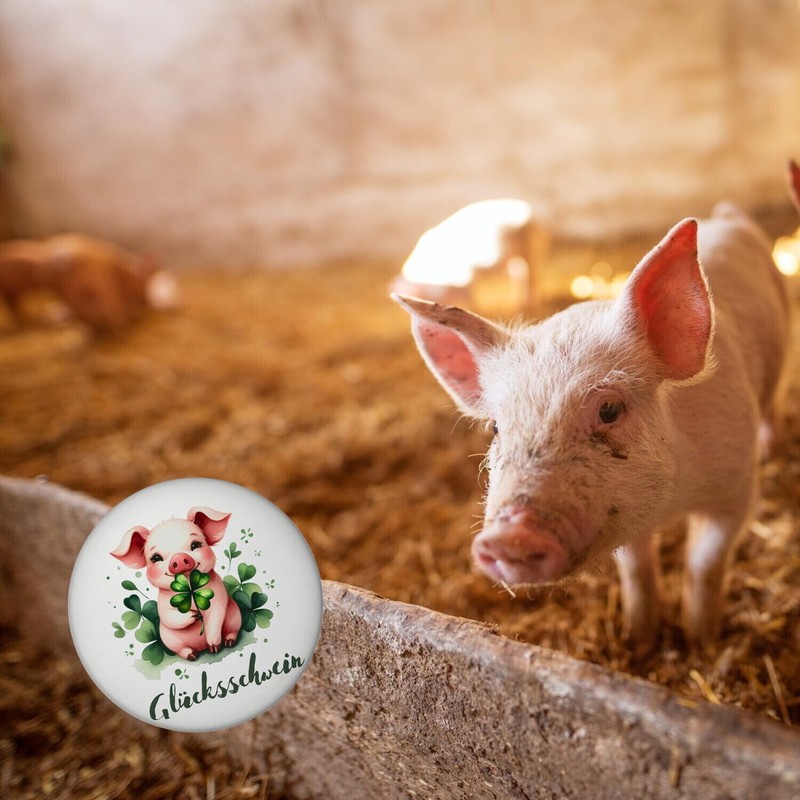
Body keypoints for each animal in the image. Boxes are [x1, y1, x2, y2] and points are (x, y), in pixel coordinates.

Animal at [111, 507, 242, 661]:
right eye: (156, 558)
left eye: (195, 545)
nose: (179, 557)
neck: (190, 589)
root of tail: (200, 648)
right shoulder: (163, 606)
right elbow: (169, 617)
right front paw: (194, 615)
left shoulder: (219, 597)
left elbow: (216, 616)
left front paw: (215, 649)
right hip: (169, 640)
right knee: (182, 650)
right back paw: (192, 656)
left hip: (235, 616)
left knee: (232, 630)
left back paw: (228, 642)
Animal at [393, 205, 790, 649]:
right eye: (496, 427)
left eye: (609, 409)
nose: (509, 536)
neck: (674, 502)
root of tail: (727, 214)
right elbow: (637, 571)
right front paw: (640, 640)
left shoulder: (734, 489)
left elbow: (704, 565)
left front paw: (701, 642)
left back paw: (772, 449)